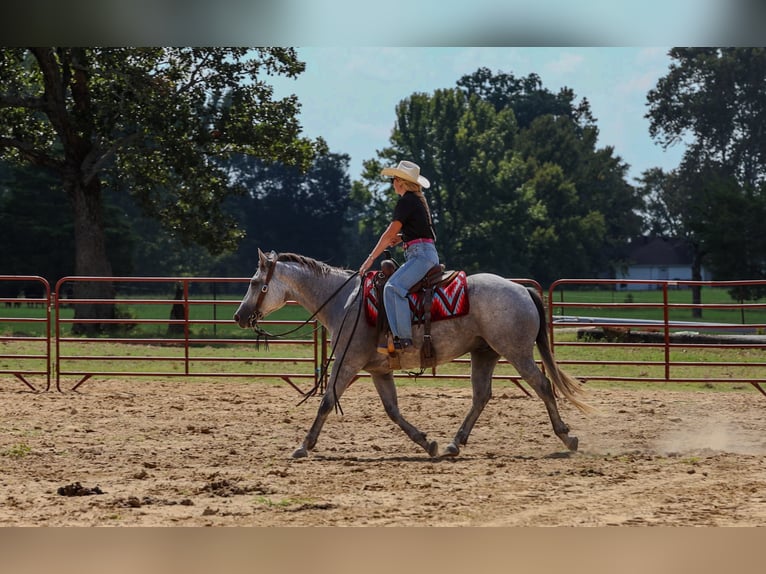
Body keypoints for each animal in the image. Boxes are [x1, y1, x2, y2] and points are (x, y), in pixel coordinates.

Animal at [234, 249, 591, 459]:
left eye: (253, 281)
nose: (239, 316)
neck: (344, 301)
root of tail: (522, 289)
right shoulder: (378, 370)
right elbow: (392, 410)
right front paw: (426, 442)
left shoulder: (348, 363)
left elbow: (326, 401)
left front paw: (303, 445)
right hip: (485, 353)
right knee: (481, 396)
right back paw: (453, 443)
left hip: (516, 351)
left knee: (542, 386)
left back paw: (567, 437)